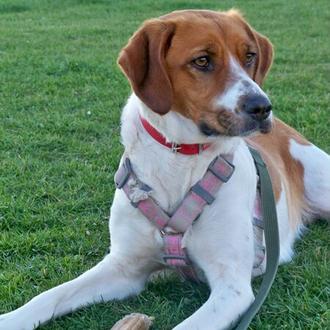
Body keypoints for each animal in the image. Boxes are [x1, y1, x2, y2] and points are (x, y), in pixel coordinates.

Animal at [0, 9, 330, 328]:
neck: (181, 157)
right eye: (202, 60)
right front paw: (11, 318)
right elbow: (51, 296)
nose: (262, 106)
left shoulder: (231, 288)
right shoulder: (123, 268)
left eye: (249, 56)